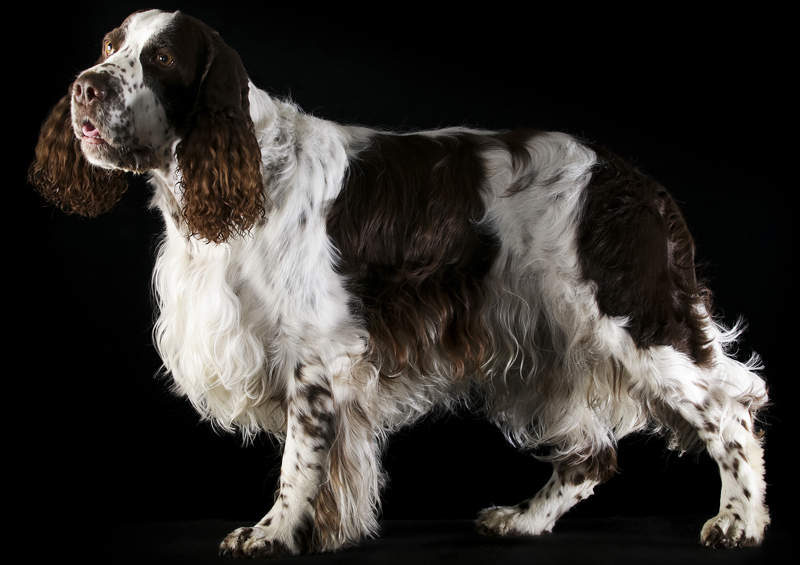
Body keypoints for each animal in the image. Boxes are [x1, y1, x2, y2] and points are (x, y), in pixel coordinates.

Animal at [29, 7, 768, 556]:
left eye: (160, 60)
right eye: (110, 45)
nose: (85, 87)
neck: (250, 171)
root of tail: (638, 185)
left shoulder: (315, 353)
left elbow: (300, 458)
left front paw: (273, 533)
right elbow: (331, 463)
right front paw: (322, 531)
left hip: (631, 320)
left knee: (731, 409)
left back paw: (740, 521)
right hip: (543, 342)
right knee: (593, 453)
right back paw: (525, 519)